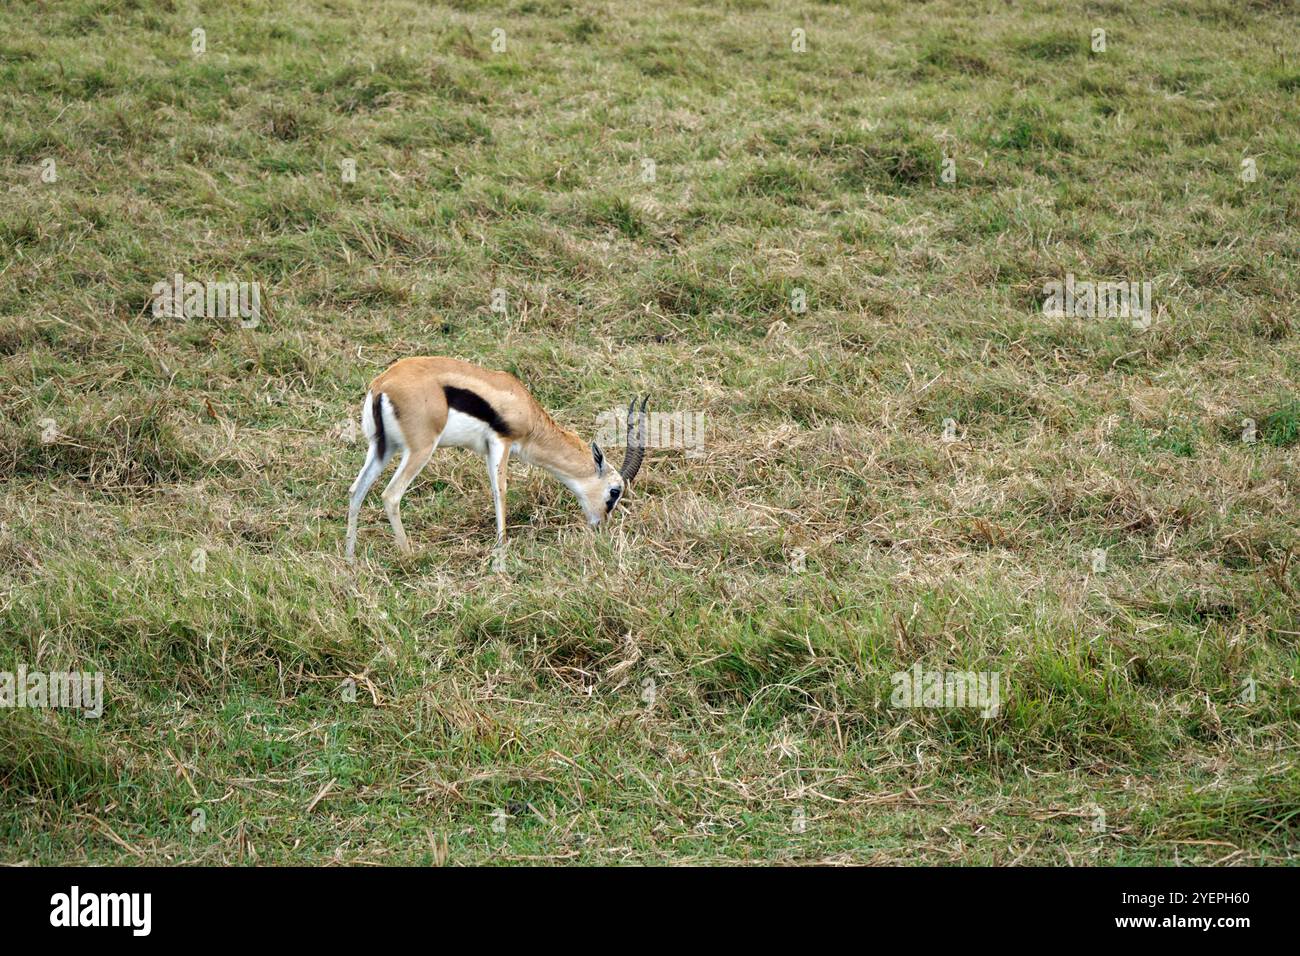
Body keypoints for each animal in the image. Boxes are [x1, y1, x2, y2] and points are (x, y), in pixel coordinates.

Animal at [344, 356, 648, 560]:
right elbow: (500, 491)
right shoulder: (501, 443)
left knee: (356, 490)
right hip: (419, 450)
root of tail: (382, 384)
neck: (525, 409)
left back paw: (350, 557)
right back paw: (409, 556)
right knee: (390, 495)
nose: (600, 526)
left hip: (383, 448)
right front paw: (501, 550)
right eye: (615, 491)